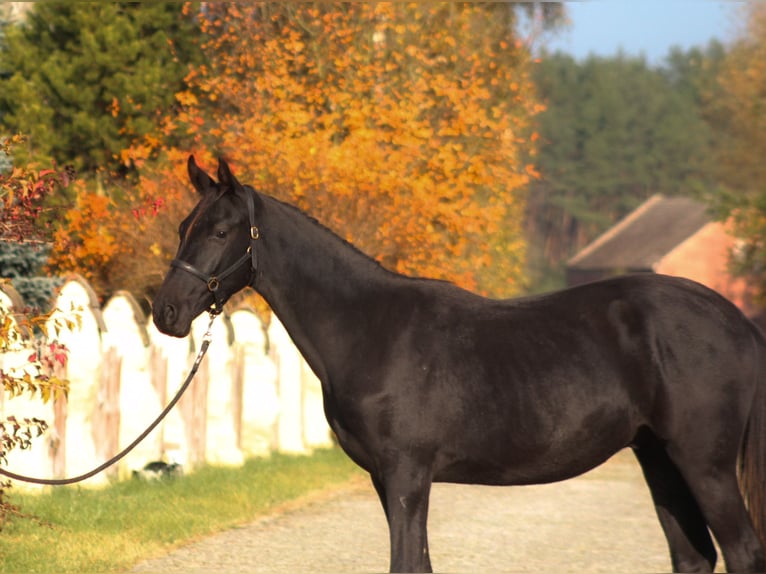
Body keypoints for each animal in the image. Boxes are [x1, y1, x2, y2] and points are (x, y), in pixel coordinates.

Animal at [153, 158, 766, 574]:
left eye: (221, 230)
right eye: (184, 225)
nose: (166, 312)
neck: (370, 327)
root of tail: (736, 321)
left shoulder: (406, 473)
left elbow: (405, 563)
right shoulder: (386, 478)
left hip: (704, 463)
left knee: (742, 550)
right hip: (659, 457)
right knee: (693, 555)